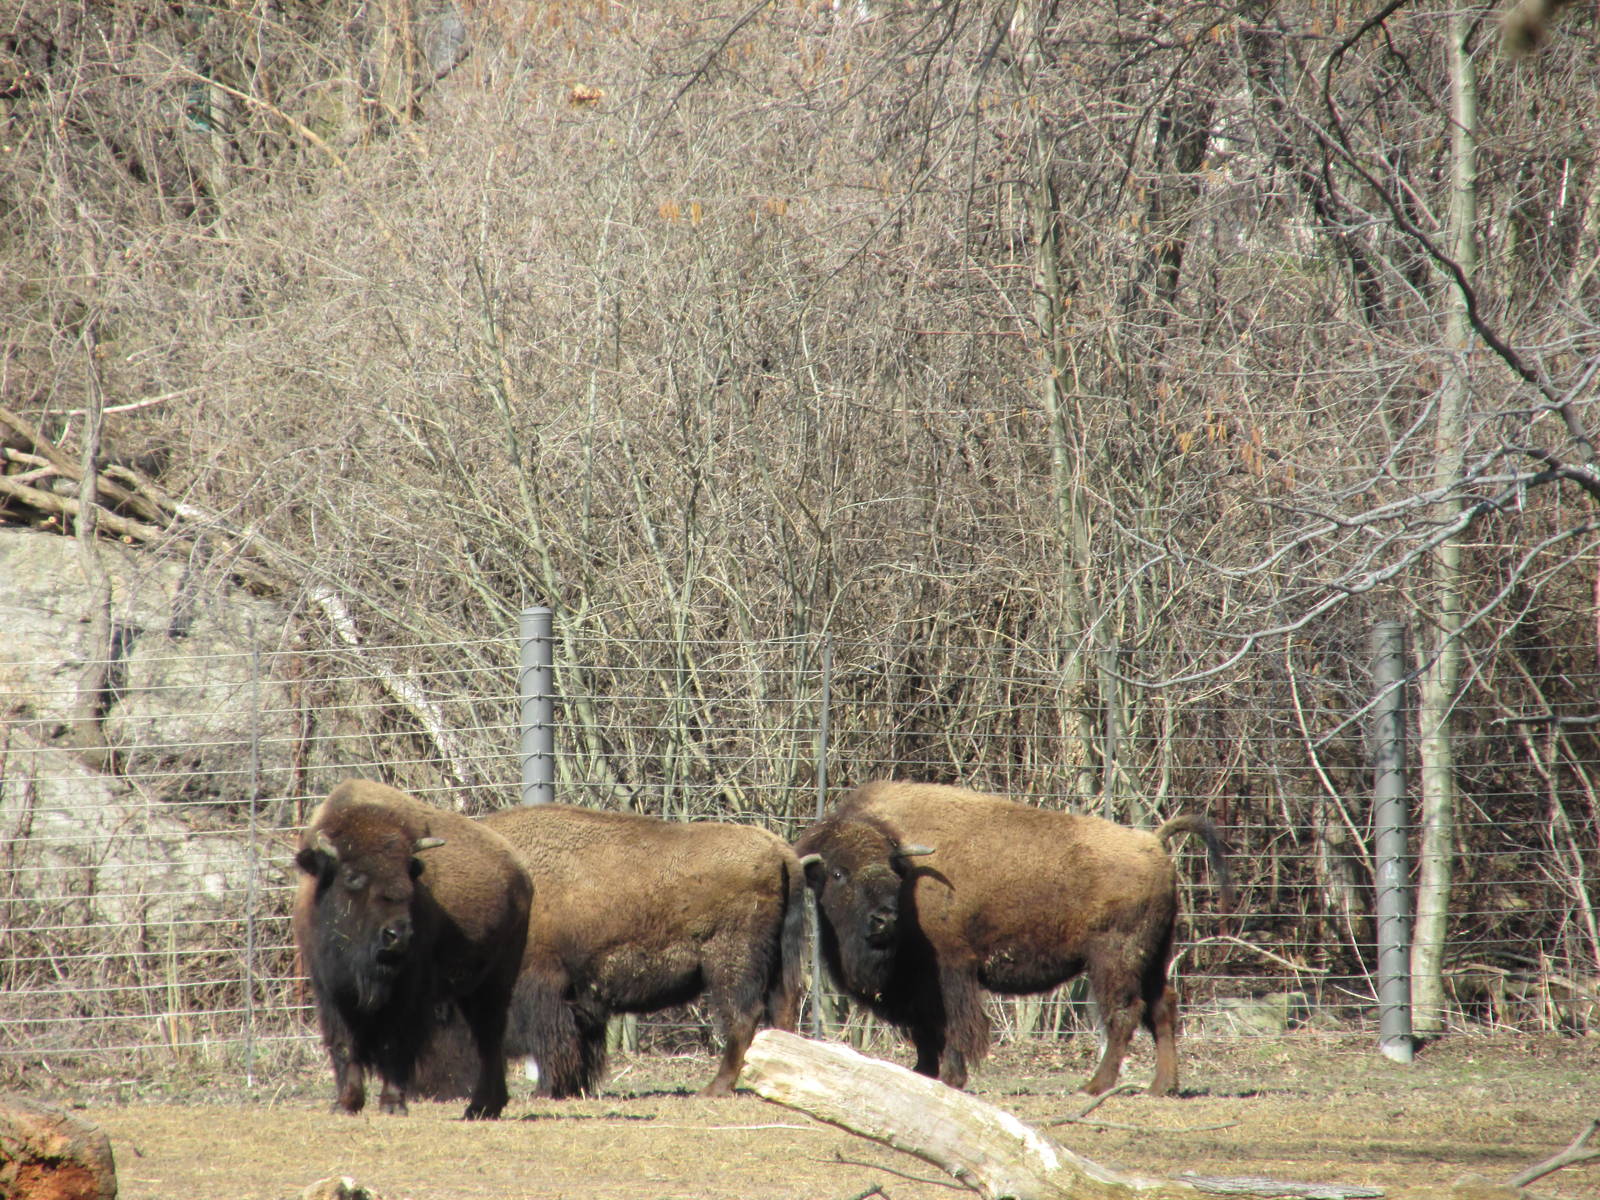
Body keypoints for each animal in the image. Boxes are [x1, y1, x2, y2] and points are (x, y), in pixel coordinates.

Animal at [292, 779, 532, 1118]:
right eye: (352, 876)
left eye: (409, 874)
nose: (398, 935)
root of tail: (520, 871)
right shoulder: (330, 990)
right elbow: (343, 1044)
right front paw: (346, 1104)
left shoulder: (409, 992)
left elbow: (397, 1043)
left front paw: (392, 1105)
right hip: (471, 988)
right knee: (488, 1038)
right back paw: (486, 1107)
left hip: (495, 982)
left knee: (489, 1037)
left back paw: (480, 1106)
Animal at [478, 803, 805, 1097]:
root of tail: (779, 850)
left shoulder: (545, 983)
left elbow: (553, 1041)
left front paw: (544, 1091)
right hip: (776, 963)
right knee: (782, 1009)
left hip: (731, 963)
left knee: (743, 1016)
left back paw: (714, 1089)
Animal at [795, 780, 1232, 1097]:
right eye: (838, 873)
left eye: (891, 868)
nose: (884, 919)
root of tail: (1153, 843)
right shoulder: (917, 984)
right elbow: (925, 1027)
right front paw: (922, 1072)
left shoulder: (952, 968)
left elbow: (956, 1022)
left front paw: (950, 1077)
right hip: (1153, 957)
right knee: (1163, 1007)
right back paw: (1162, 1087)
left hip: (1113, 959)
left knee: (1124, 1013)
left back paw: (1094, 1085)